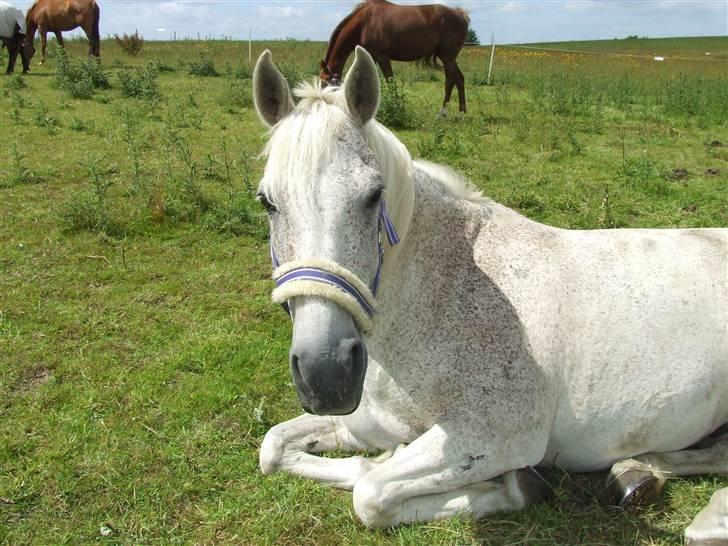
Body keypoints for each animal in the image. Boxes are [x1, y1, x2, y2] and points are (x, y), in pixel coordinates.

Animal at [252, 46, 728, 540]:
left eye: (374, 195)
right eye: (267, 202)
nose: (326, 374)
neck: (441, 299)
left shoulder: (493, 438)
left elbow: (371, 494)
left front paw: (514, 487)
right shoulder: (372, 422)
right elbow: (275, 448)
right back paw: (637, 472)